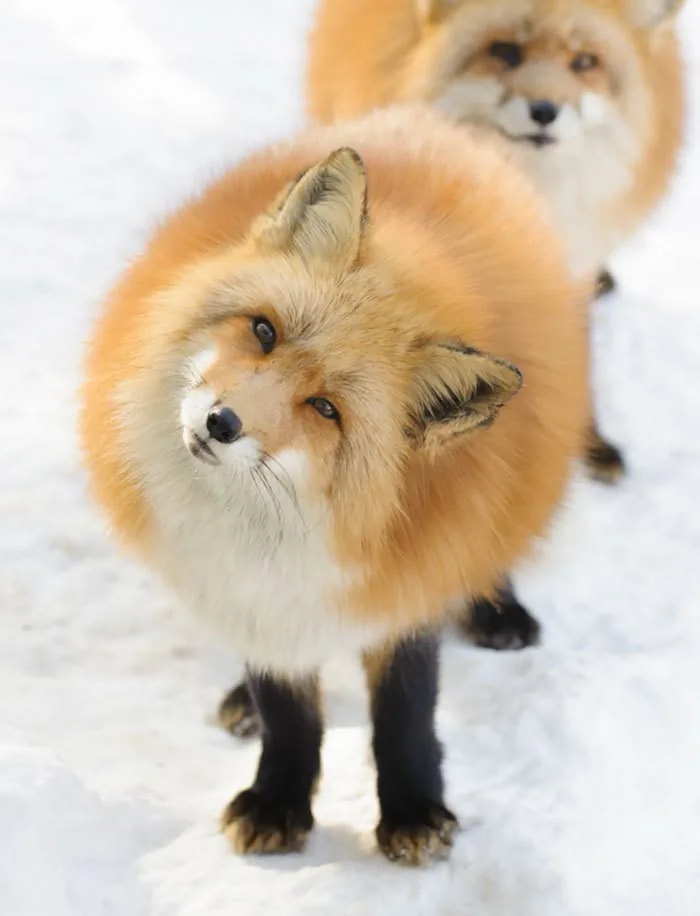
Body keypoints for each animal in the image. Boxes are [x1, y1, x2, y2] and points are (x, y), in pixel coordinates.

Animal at [80, 105, 588, 865]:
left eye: (325, 409)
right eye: (264, 331)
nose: (221, 422)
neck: (270, 531)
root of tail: (427, 121)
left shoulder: (408, 578)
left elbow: (405, 715)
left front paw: (412, 811)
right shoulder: (248, 588)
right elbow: (288, 710)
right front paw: (280, 799)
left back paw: (498, 607)